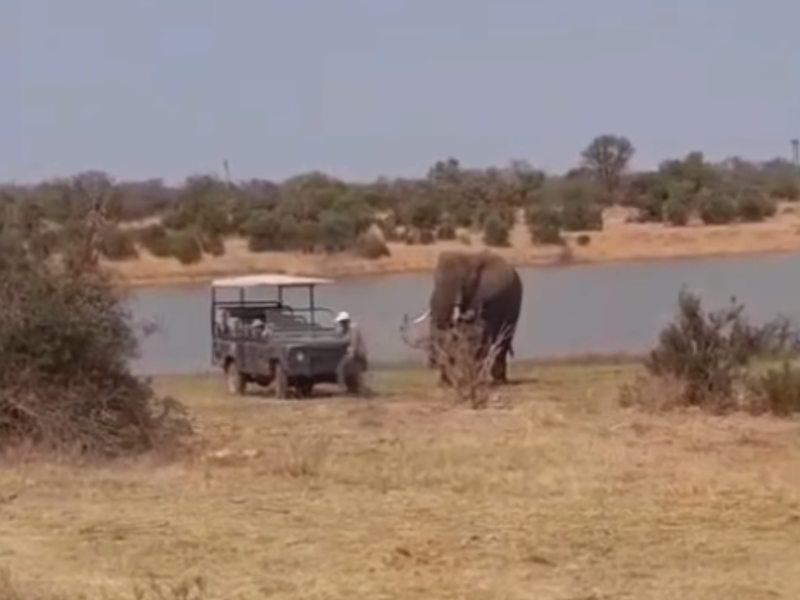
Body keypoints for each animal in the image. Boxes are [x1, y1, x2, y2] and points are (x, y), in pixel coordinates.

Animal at [411, 250, 523, 384]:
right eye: (434, 279)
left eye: (464, 283)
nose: (431, 364)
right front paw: (447, 382)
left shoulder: (488, 295)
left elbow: (475, 332)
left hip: (515, 308)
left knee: (504, 340)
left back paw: (498, 380)